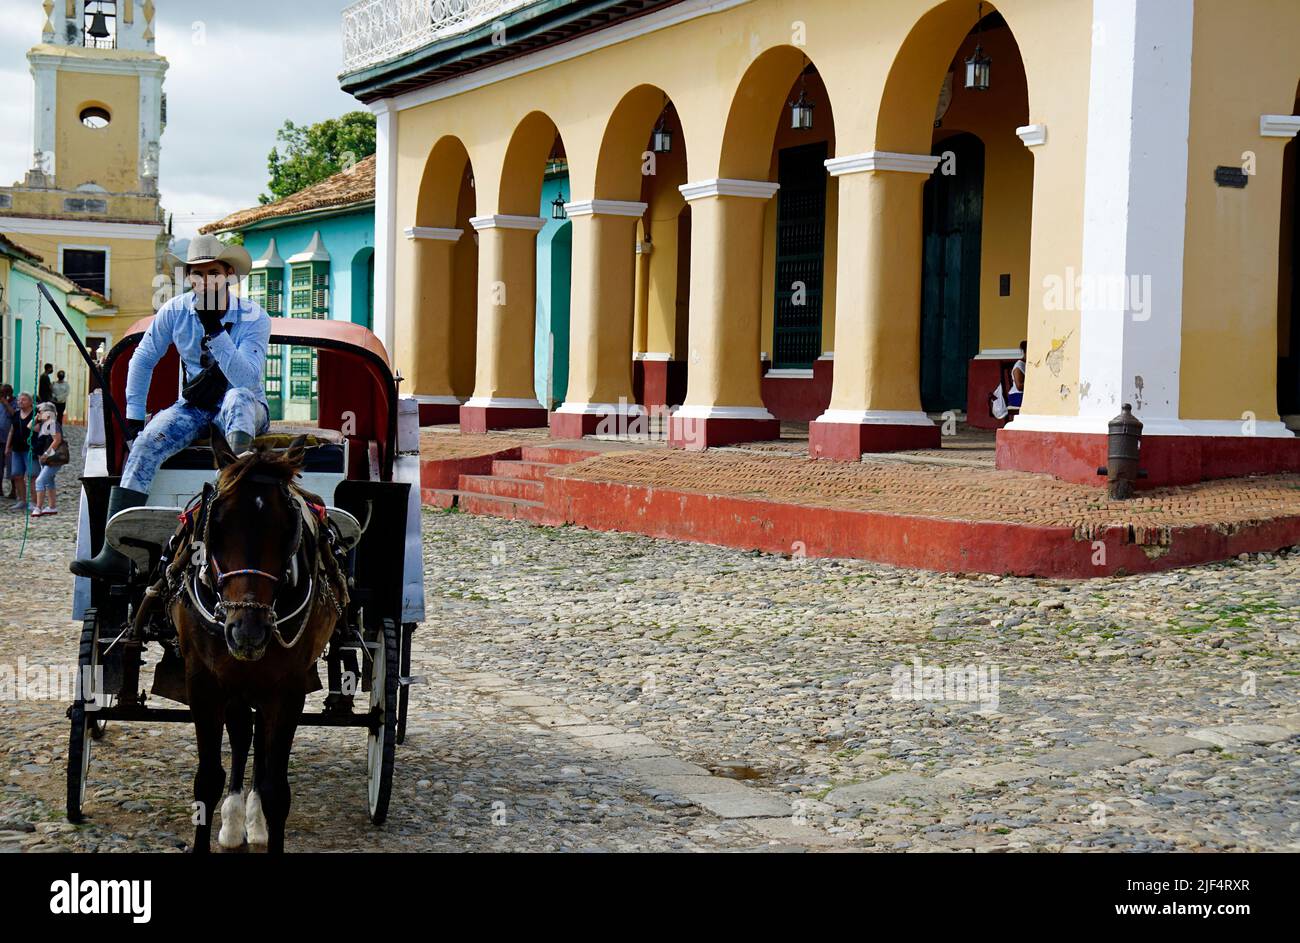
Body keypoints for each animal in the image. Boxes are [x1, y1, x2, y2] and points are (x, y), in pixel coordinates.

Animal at [165, 429, 353, 853]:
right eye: (216, 523)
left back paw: (252, 819)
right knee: (241, 733)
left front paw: (264, 818)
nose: (247, 631)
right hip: (236, 682)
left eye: (287, 530)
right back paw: (235, 820)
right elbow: (207, 779)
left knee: (259, 739)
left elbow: (275, 789)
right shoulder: (203, 682)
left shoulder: (288, 688)